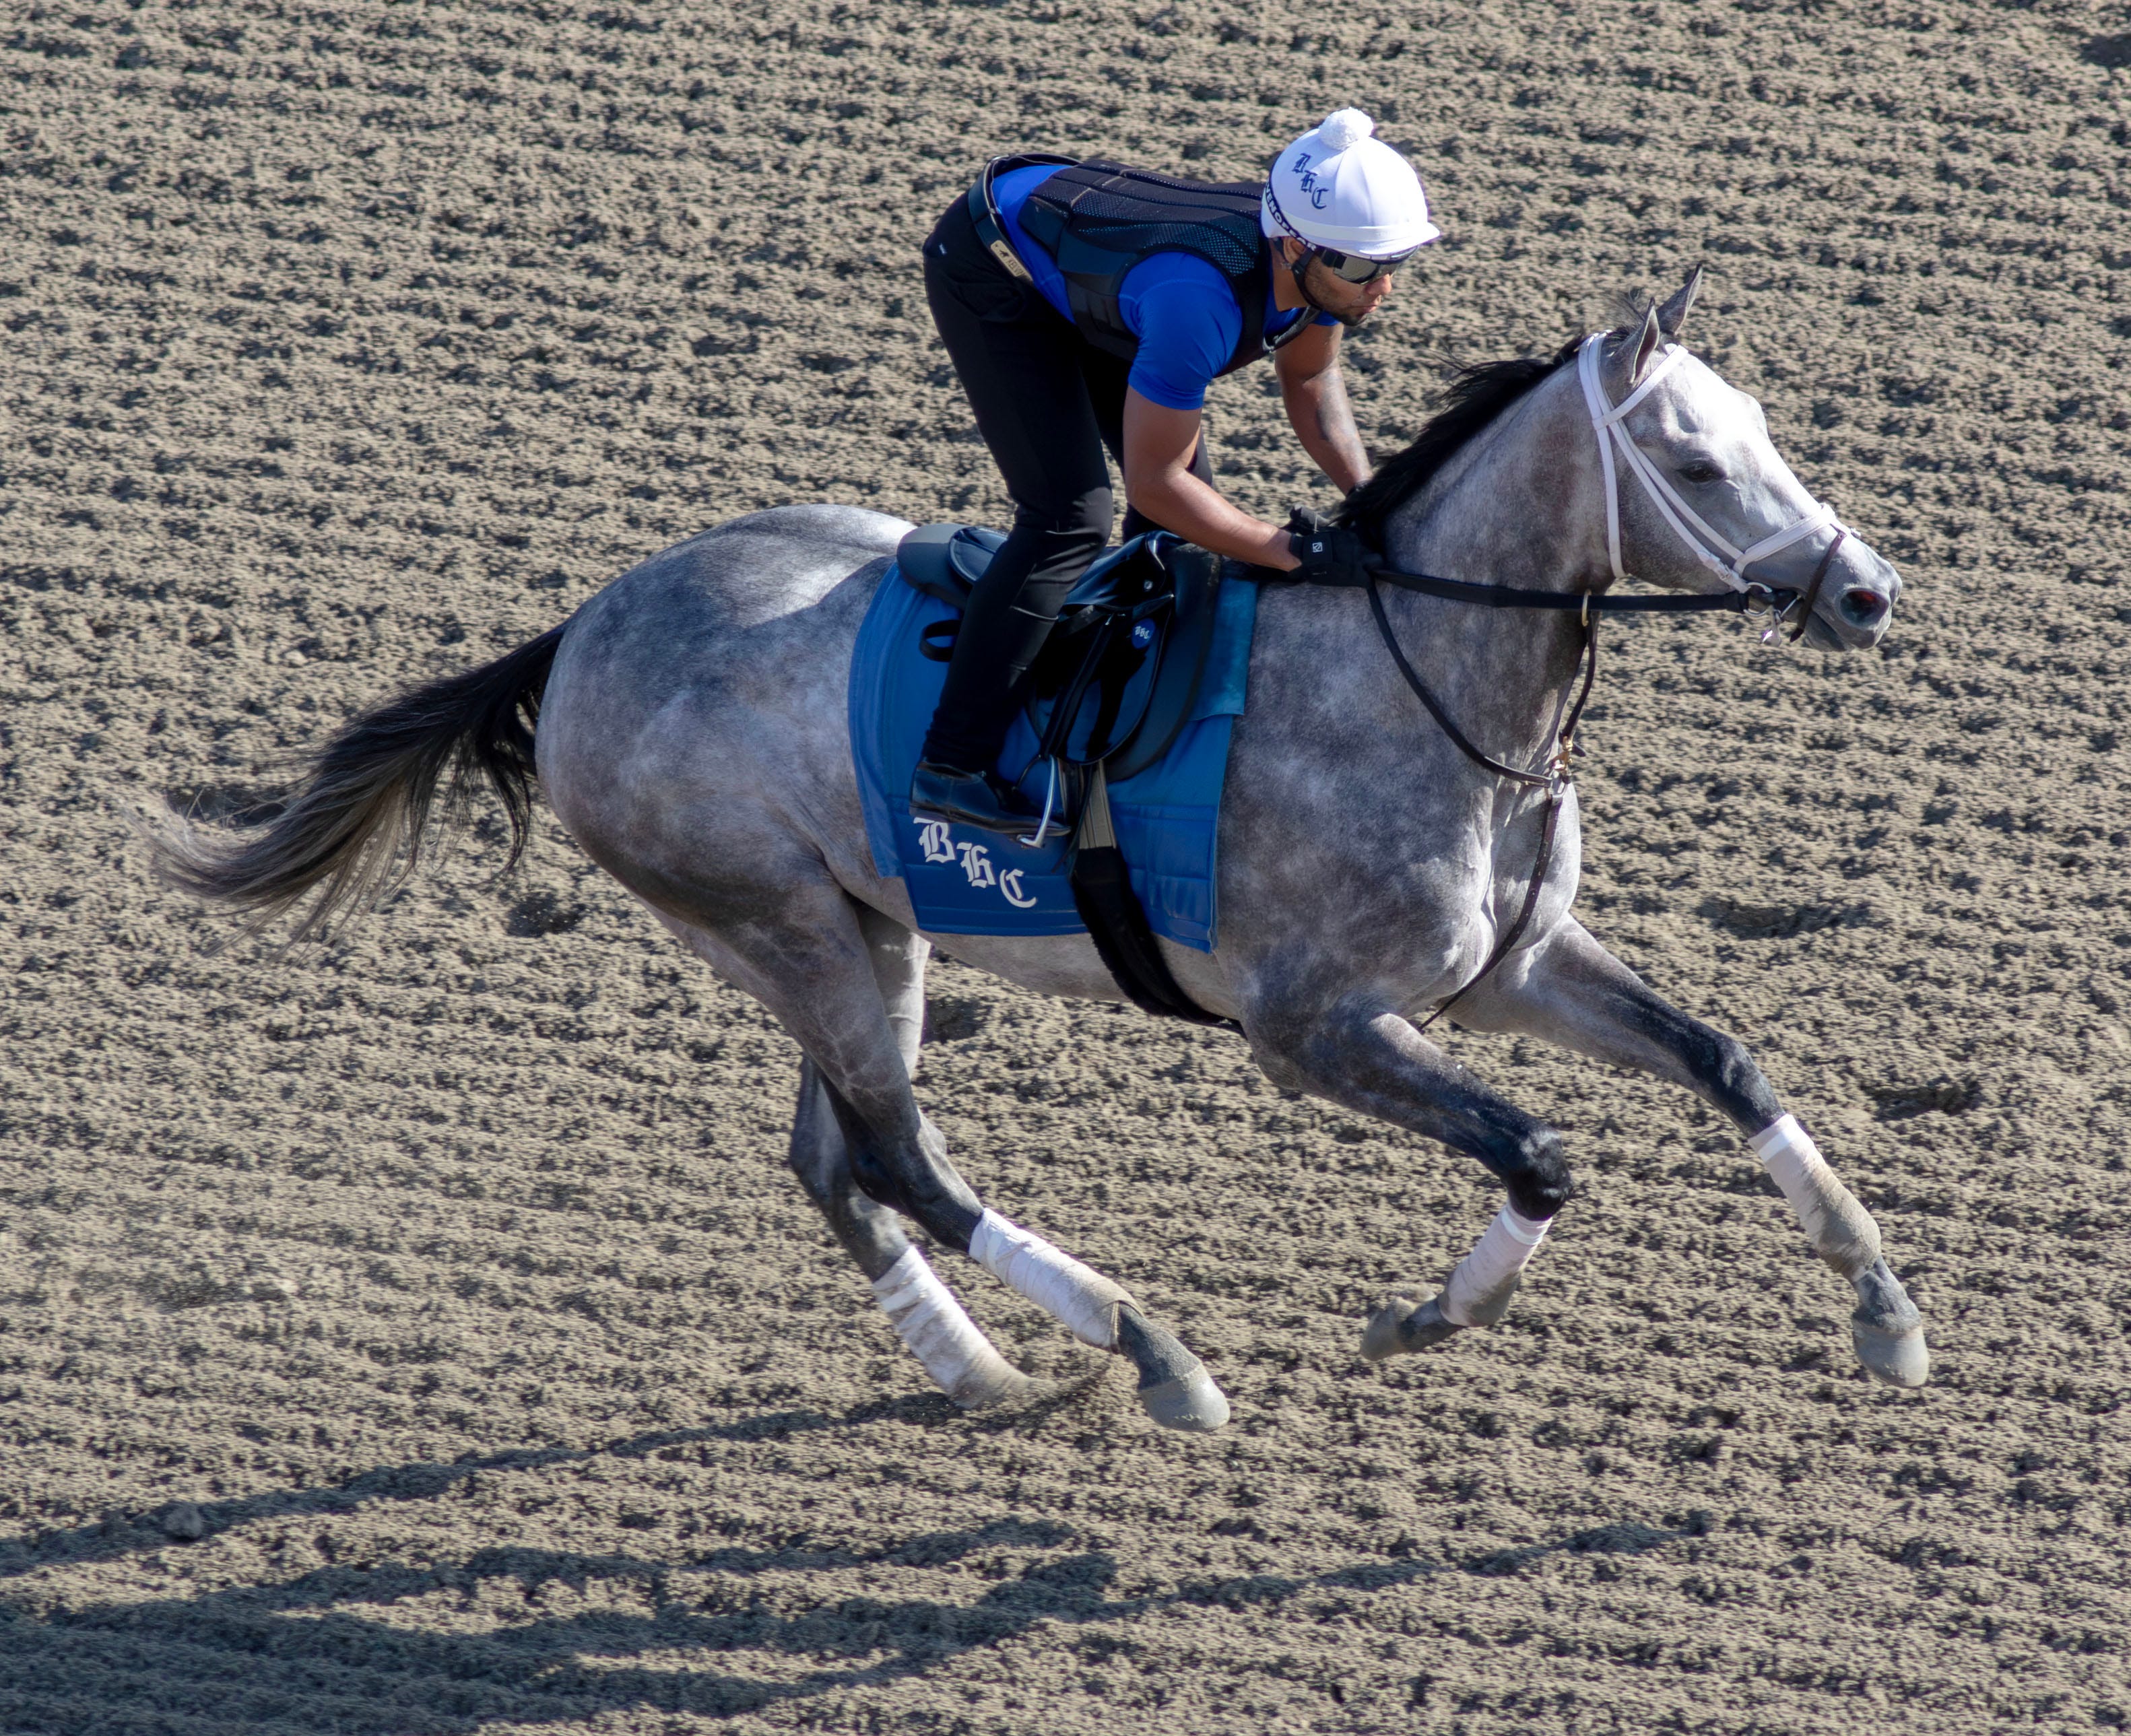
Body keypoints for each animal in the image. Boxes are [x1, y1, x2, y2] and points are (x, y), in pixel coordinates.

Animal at [154, 279, 1934, 1431]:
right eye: (1694, 463)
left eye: (1762, 427)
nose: (1864, 590)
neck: (1417, 675)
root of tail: (579, 630)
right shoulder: (1313, 1028)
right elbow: (1542, 1154)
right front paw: (1432, 1313)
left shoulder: (1510, 969)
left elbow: (1727, 1057)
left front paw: (1885, 1311)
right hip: (779, 922)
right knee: (904, 1160)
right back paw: (1154, 1357)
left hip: (863, 929)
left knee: (837, 1160)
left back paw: (990, 1376)